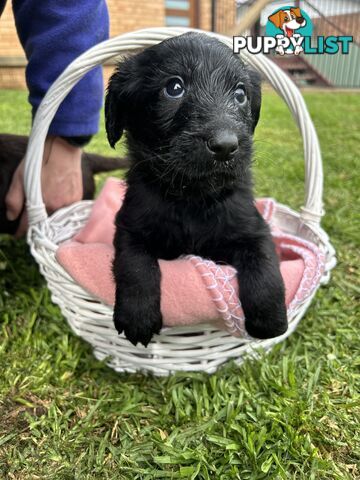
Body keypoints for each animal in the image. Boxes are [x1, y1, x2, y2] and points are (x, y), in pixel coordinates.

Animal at [105, 32, 288, 344]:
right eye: (174, 88)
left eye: (240, 94)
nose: (225, 146)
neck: (193, 197)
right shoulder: (130, 227)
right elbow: (135, 266)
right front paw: (138, 316)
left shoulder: (255, 229)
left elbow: (264, 265)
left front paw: (270, 320)